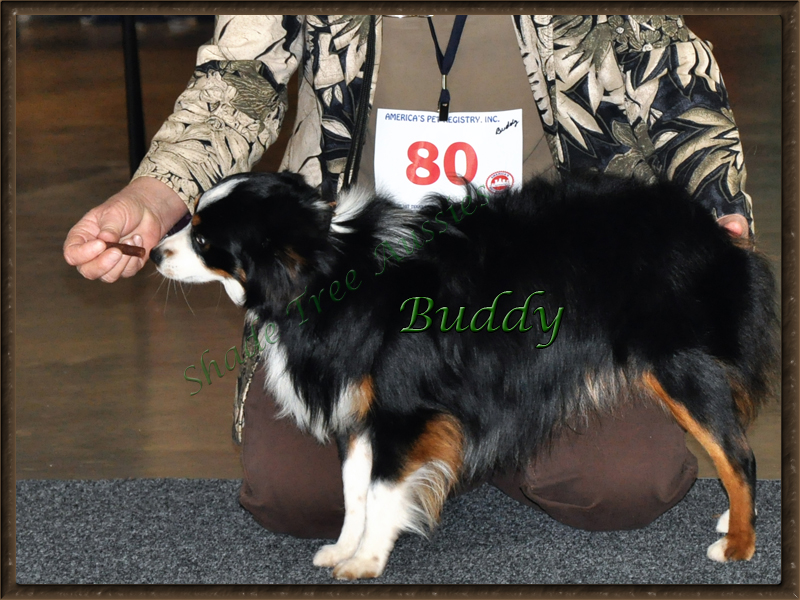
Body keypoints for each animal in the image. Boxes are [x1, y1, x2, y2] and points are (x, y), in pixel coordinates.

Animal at [148, 171, 776, 580]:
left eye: (202, 239)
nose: (153, 252)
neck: (331, 268)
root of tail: (709, 229)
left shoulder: (404, 413)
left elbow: (382, 491)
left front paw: (366, 562)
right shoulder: (359, 413)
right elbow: (353, 492)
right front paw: (345, 549)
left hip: (682, 368)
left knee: (738, 454)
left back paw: (741, 543)